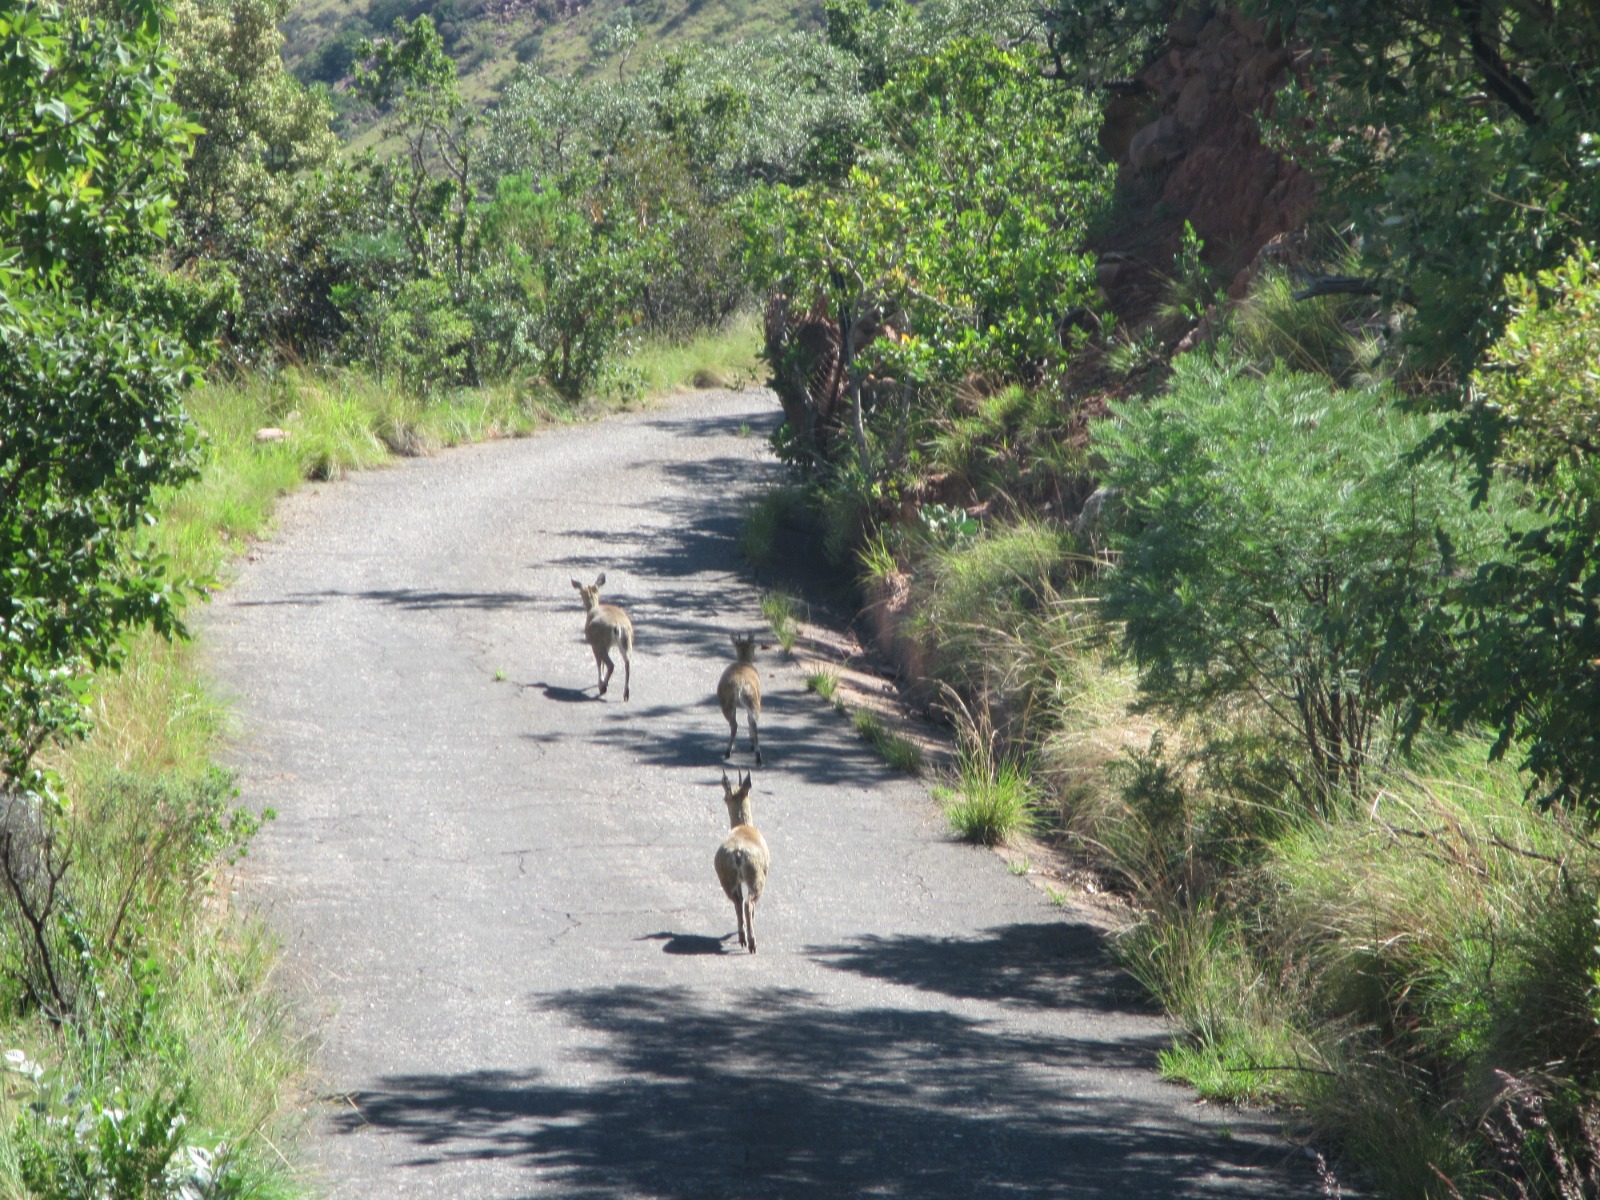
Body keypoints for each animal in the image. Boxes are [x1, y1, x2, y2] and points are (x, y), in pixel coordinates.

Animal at [714, 770, 769, 954]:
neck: (744, 825)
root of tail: (738, 853)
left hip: (726, 877)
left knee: (738, 902)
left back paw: (742, 938)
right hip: (757, 876)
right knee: (747, 903)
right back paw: (751, 942)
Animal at [717, 633, 762, 765]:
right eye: (753, 647)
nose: (755, 656)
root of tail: (740, 685)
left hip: (728, 702)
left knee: (735, 724)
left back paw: (728, 751)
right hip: (753, 700)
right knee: (751, 722)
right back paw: (757, 756)